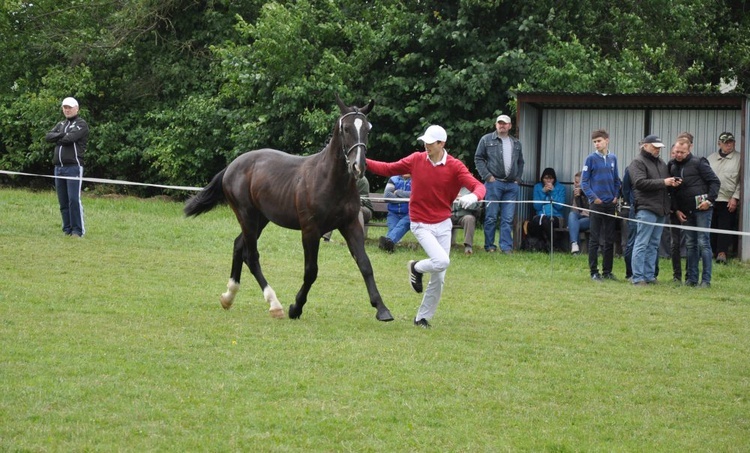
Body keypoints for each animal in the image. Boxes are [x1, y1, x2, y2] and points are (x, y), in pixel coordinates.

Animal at [184, 95, 394, 322]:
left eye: (367, 129)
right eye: (346, 128)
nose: (359, 166)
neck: (330, 180)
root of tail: (232, 165)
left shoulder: (350, 225)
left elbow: (365, 264)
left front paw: (382, 309)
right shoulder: (310, 231)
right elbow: (311, 271)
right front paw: (296, 307)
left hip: (260, 219)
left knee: (239, 246)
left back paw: (228, 297)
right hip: (246, 216)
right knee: (252, 256)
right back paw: (274, 304)